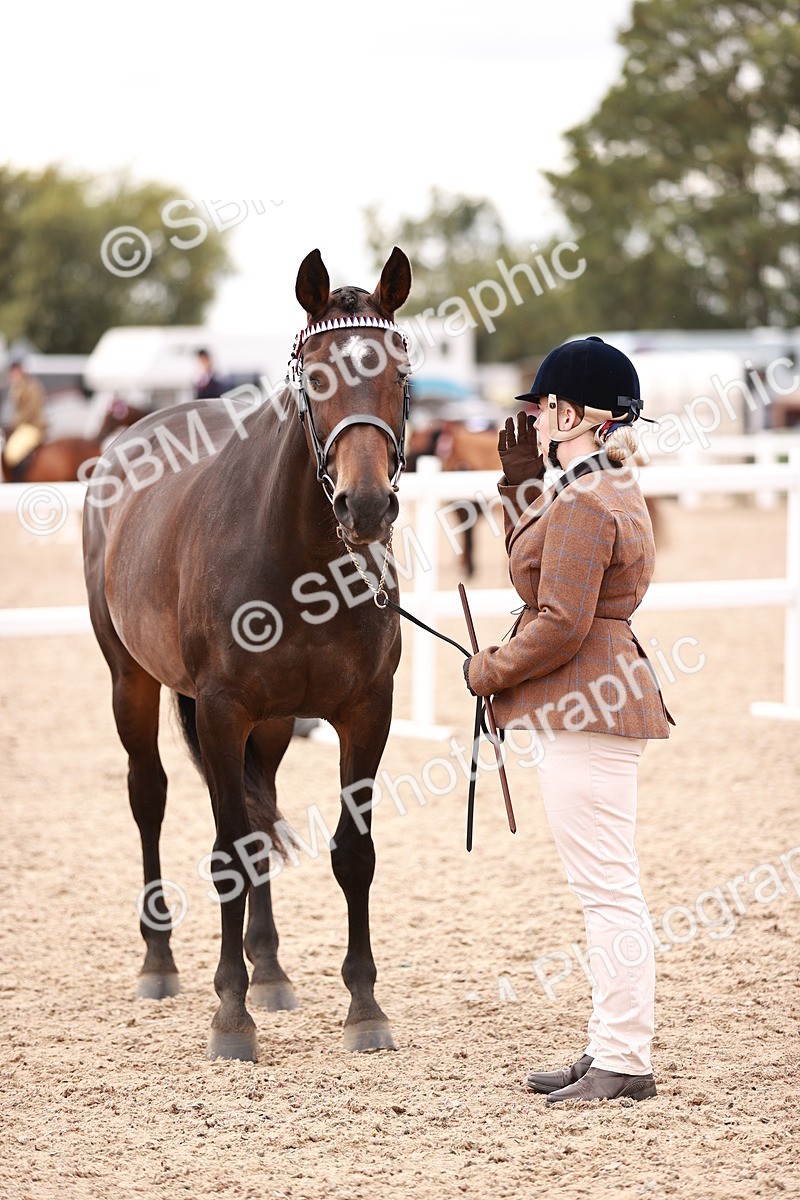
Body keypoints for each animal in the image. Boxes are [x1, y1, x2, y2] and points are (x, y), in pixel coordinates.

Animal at [83, 247, 412, 1061]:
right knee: (151, 797)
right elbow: (227, 852)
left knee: (258, 822)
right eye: (315, 377)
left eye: (399, 374)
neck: (303, 560)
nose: (366, 507)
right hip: (131, 681)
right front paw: (229, 1015)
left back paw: (269, 968)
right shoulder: (222, 711)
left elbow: (352, 854)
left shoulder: (366, 713)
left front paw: (364, 1007)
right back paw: (160, 960)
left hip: (271, 724)